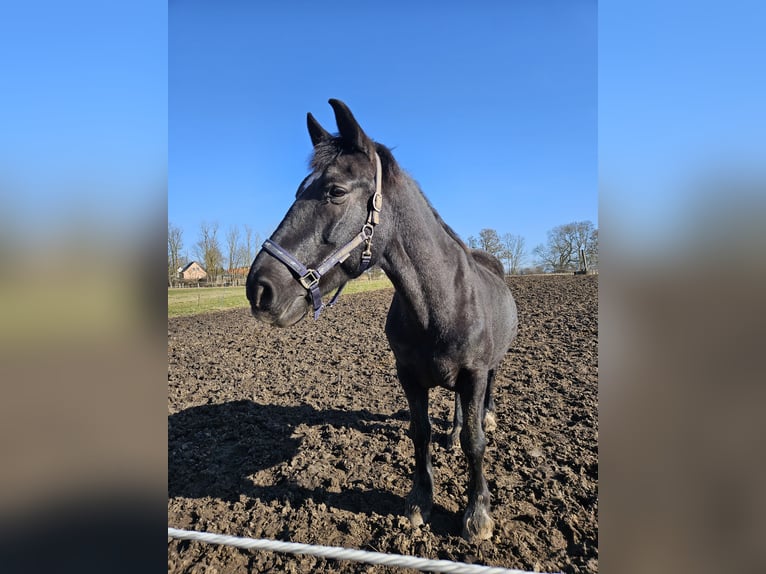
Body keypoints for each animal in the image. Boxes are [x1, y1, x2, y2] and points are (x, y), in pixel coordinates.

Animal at [246, 99, 518, 542]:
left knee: (486, 397)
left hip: (491, 366)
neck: (439, 305)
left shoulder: (475, 372)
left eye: (336, 191)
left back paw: (487, 416)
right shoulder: (408, 374)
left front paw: (478, 513)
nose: (259, 288)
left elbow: (475, 443)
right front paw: (420, 500)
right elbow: (420, 432)